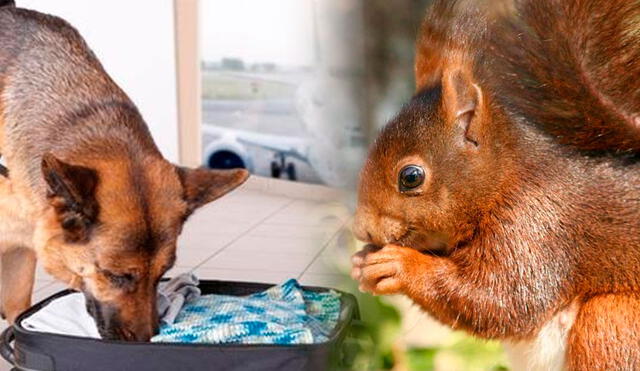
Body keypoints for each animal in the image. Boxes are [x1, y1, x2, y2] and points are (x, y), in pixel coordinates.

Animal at [352, 1, 640, 370]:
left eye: (411, 177)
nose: (361, 229)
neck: (506, 180)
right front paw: (361, 261)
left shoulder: (536, 229)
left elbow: (500, 299)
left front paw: (399, 264)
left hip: (612, 322)